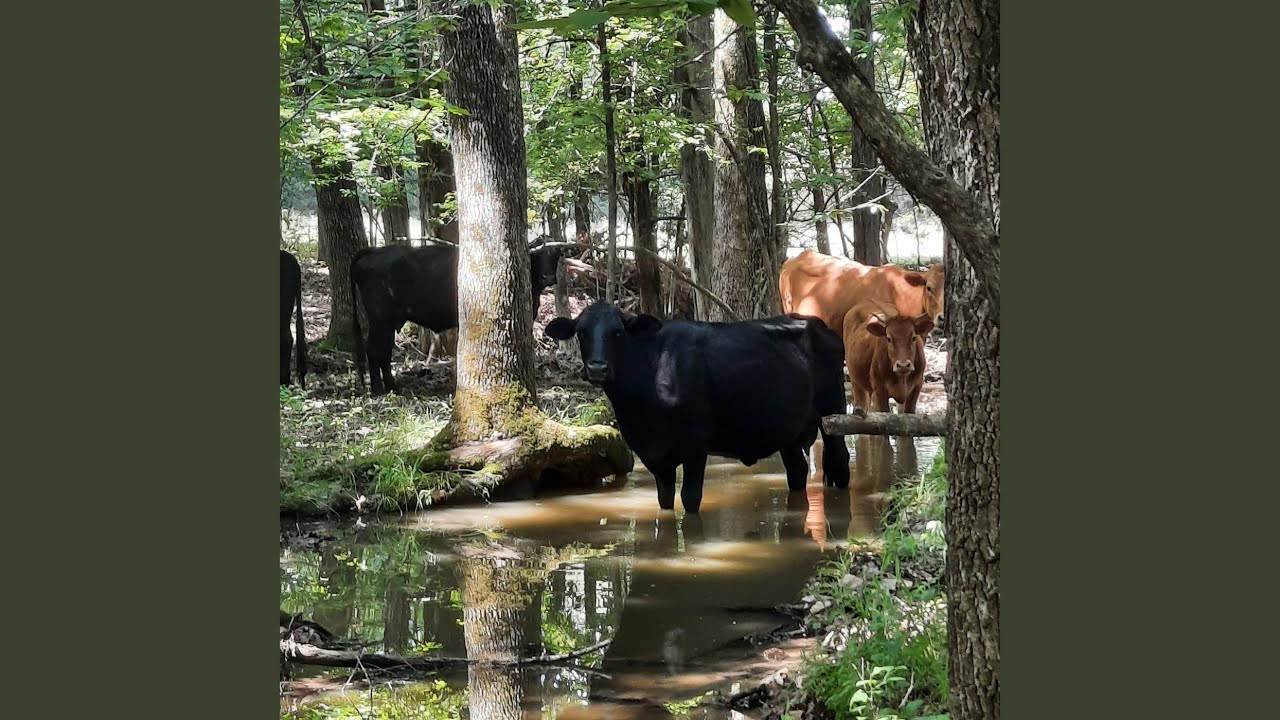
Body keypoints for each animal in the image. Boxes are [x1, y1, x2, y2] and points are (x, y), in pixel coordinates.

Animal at [350, 242, 585, 395]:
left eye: (555, 258)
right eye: (538, 258)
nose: (548, 277)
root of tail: (374, 251)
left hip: (388, 323)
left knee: (384, 351)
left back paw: (392, 386)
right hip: (380, 319)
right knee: (374, 350)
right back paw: (379, 389)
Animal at [544, 301, 851, 513]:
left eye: (617, 332)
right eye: (582, 333)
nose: (597, 367)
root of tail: (821, 326)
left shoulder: (695, 444)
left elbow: (690, 498)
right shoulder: (654, 454)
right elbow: (664, 500)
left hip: (832, 415)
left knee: (841, 461)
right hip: (789, 431)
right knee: (797, 471)